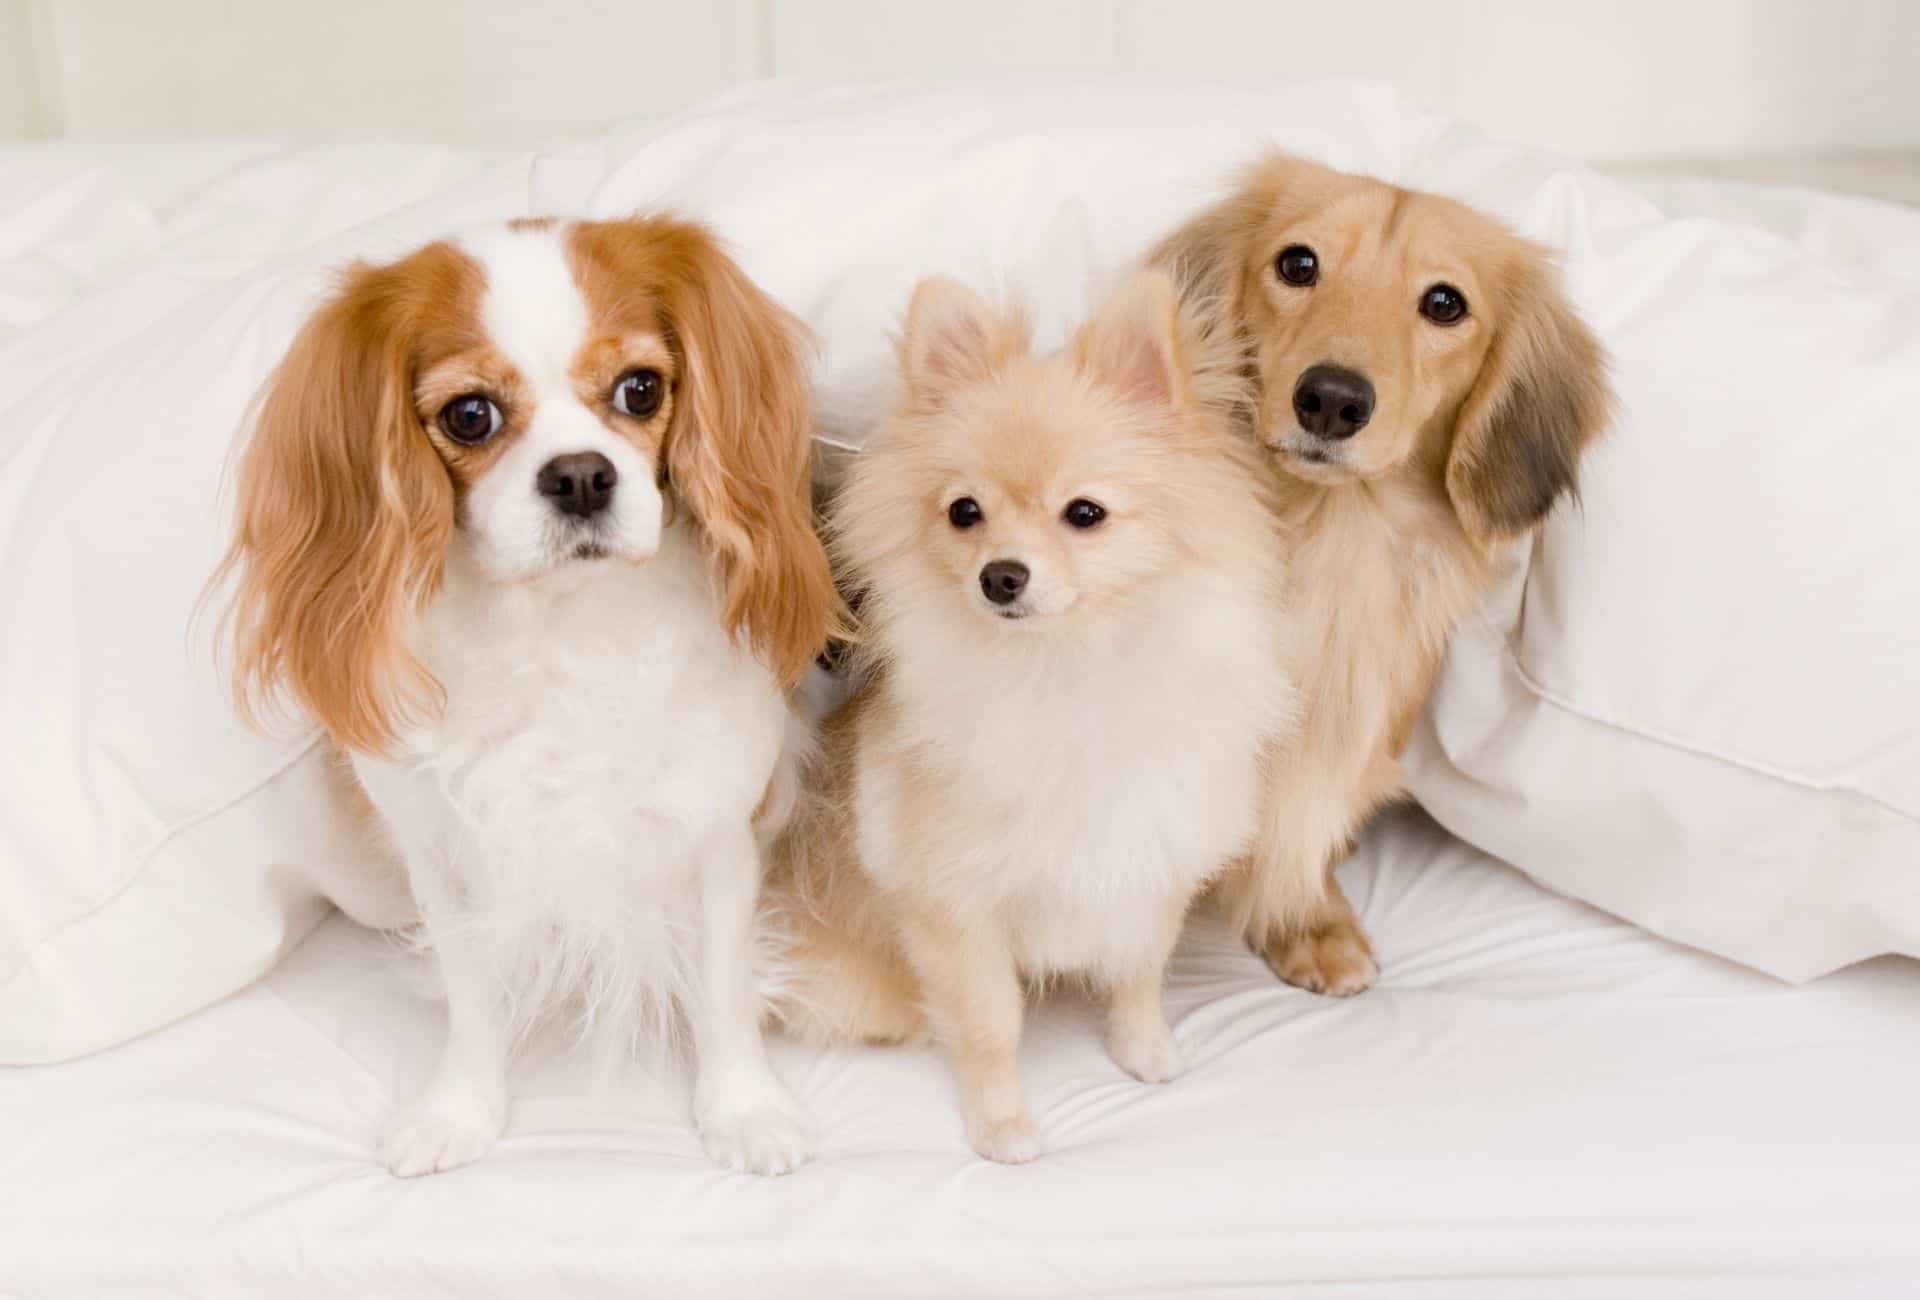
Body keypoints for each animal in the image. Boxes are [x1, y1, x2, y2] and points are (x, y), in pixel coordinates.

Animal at [764, 268, 1290, 1159]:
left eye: (1085, 514)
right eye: (963, 512)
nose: (1001, 576)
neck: (1065, 670)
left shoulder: (1150, 863)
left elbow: (1140, 972)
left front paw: (1144, 1049)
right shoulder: (957, 911)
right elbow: (990, 1025)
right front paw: (1002, 1124)